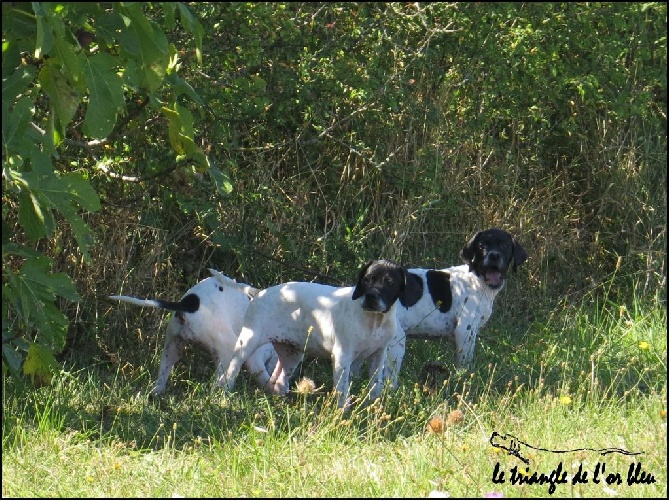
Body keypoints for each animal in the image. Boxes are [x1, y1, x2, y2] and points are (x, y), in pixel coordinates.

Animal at [110, 270, 278, 394]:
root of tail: (188, 304)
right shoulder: (254, 360)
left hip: (172, 348)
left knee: (161, 379)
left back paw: (156, 392)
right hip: (227, 348)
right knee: (221, 381)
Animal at [220, 260, 422, 408]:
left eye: (389, 283)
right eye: (366, 280)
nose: (371, 297)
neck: (373, 321)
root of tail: (260, 293)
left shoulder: (378, 356)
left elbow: (375, 385)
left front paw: (373, 407)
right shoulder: (342, 358)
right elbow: (342, 389)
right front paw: (342, 412)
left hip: (292, 352)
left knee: (278, 379)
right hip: (248, 342)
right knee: (231, 369)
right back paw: (224, 392)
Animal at [388, 229, 532, 384]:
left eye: (504, 246)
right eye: (482, 246)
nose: (494, 255)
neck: (477, 279)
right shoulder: (465, 331)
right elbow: (464, 365)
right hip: (396, 344)